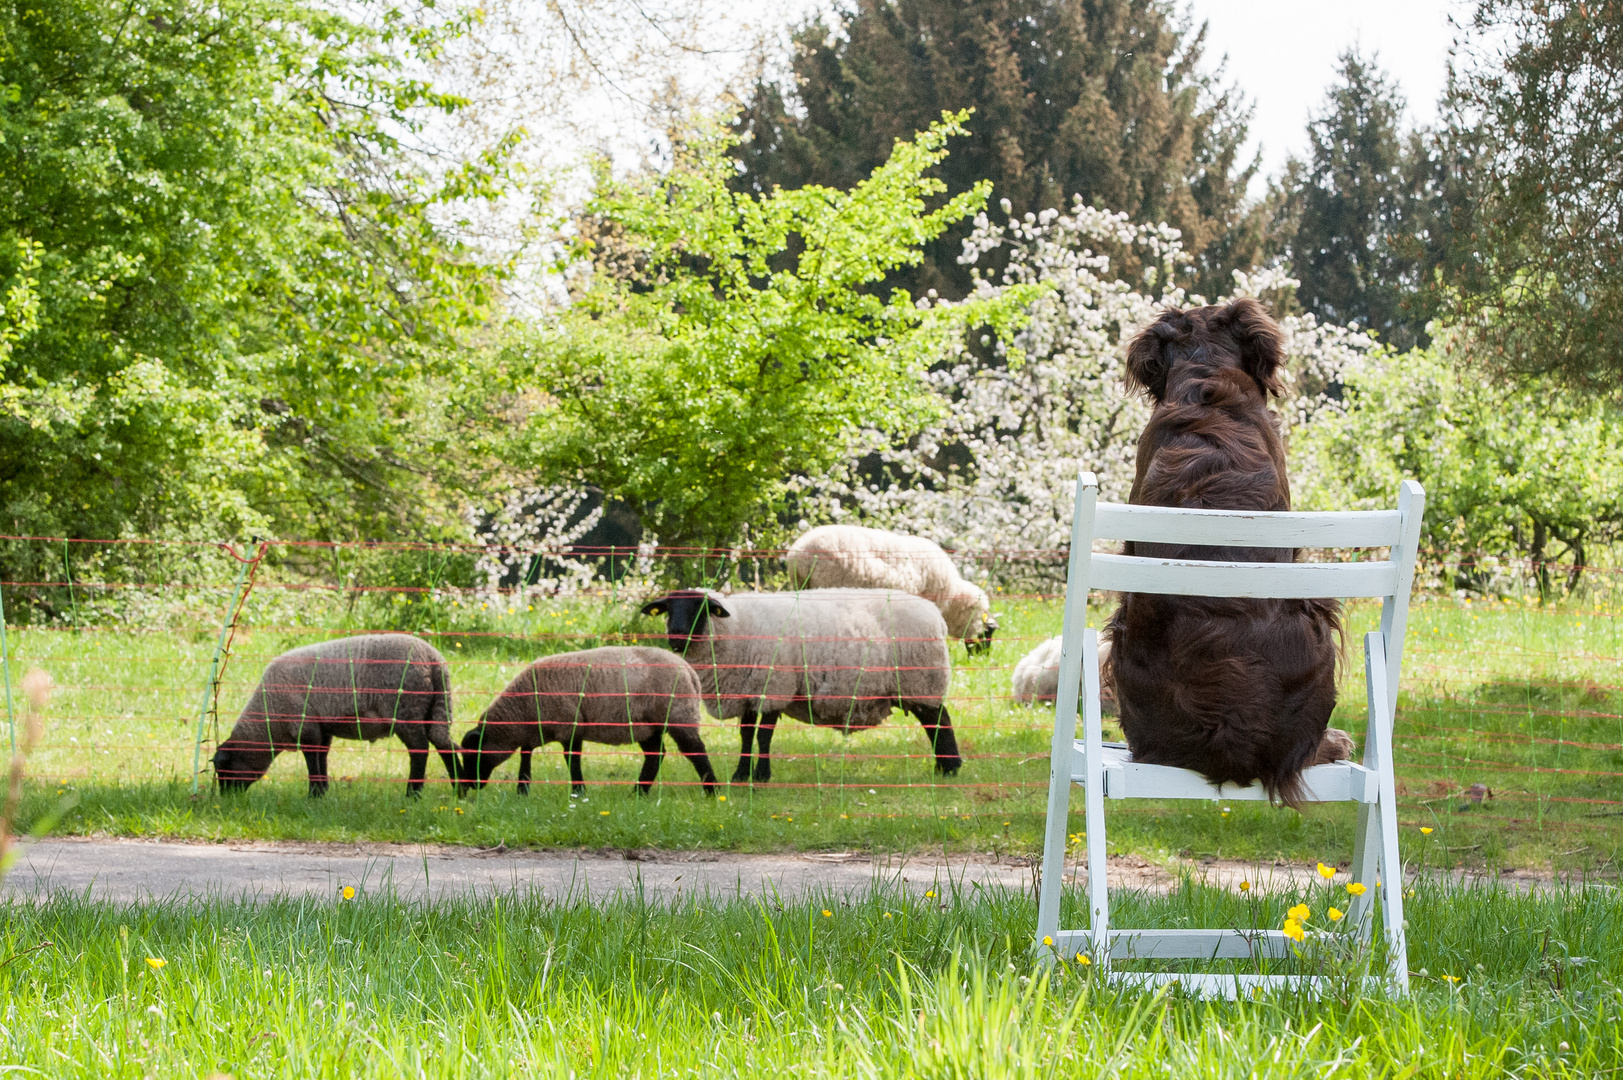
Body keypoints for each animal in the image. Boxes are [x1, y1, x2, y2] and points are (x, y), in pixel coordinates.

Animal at [210, 633, 457, 792]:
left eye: (223, 768)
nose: (227, 798)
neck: (269, 720)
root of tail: (435, 660)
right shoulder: (322, 727)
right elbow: (322, 758)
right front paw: (323, 792)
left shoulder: (305, 726)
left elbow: (312, 760)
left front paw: (314, 794)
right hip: (436, 708)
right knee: (445, 744)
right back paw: (459, 791)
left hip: (406, 710)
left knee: (420, 750)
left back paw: (413, 794)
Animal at [454, 643, 714, 795]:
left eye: (472, 755)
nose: (469, 786)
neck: (522, 709)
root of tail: (689, 671)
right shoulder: (539, 730)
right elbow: (526, 754)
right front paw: (523, 789)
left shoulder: (570, 726)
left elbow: (572, 759)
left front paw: (578, 791)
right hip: (646, 726)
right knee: (655, 755)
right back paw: (638, 793)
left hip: (678, 715)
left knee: (695, 751)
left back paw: (712, 790)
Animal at [636, 584, 960, 779]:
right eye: (669, 609)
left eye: (699, 609)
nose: (676, 638)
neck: (735, 627)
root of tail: (936, 614)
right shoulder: (750, 690)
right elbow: (746, 734)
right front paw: (741, 776)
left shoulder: (775, 686)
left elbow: (763, 735)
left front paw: (761, 776)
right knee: (934, 723)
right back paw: (943, 766)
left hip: (922, 680)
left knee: (939, 721)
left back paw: (950, 767)